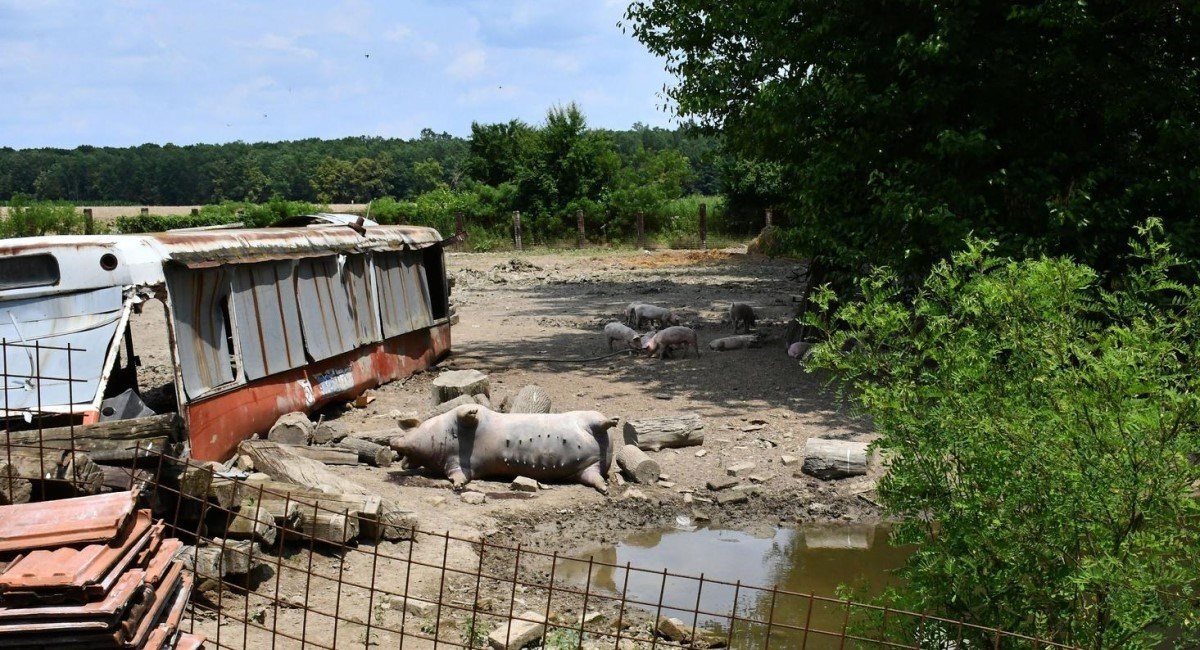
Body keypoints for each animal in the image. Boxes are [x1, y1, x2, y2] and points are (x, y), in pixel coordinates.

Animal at [391, 405, 619, 496]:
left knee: (601, 422)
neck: (445, 439)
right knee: (595, 477)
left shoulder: (463, 416)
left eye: (411, 429)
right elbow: (459, 476)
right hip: (586, 470)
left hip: (589, 417)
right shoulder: (458, 465)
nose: (392, 442)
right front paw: (457, 487)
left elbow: (465, 411)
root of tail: (606, 453)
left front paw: (472, 410)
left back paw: (615, 420)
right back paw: (605, 490)